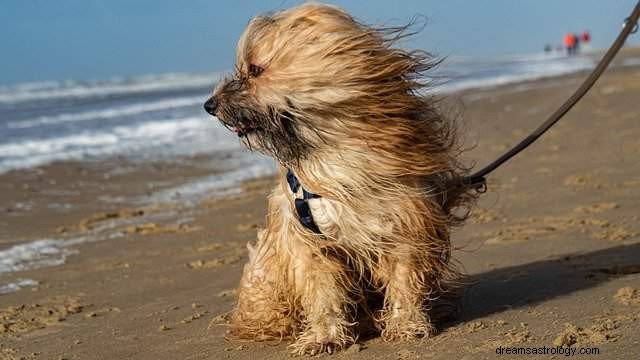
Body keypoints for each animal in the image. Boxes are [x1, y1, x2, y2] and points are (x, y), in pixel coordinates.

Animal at [205, 2, 476, 356]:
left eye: (255, 70)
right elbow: (322, 292)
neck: (332, 156)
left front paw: (406, 324)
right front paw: (323, 337)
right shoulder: (309, 243)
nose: (209, 104)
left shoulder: (405, 222)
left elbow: (405, 277)